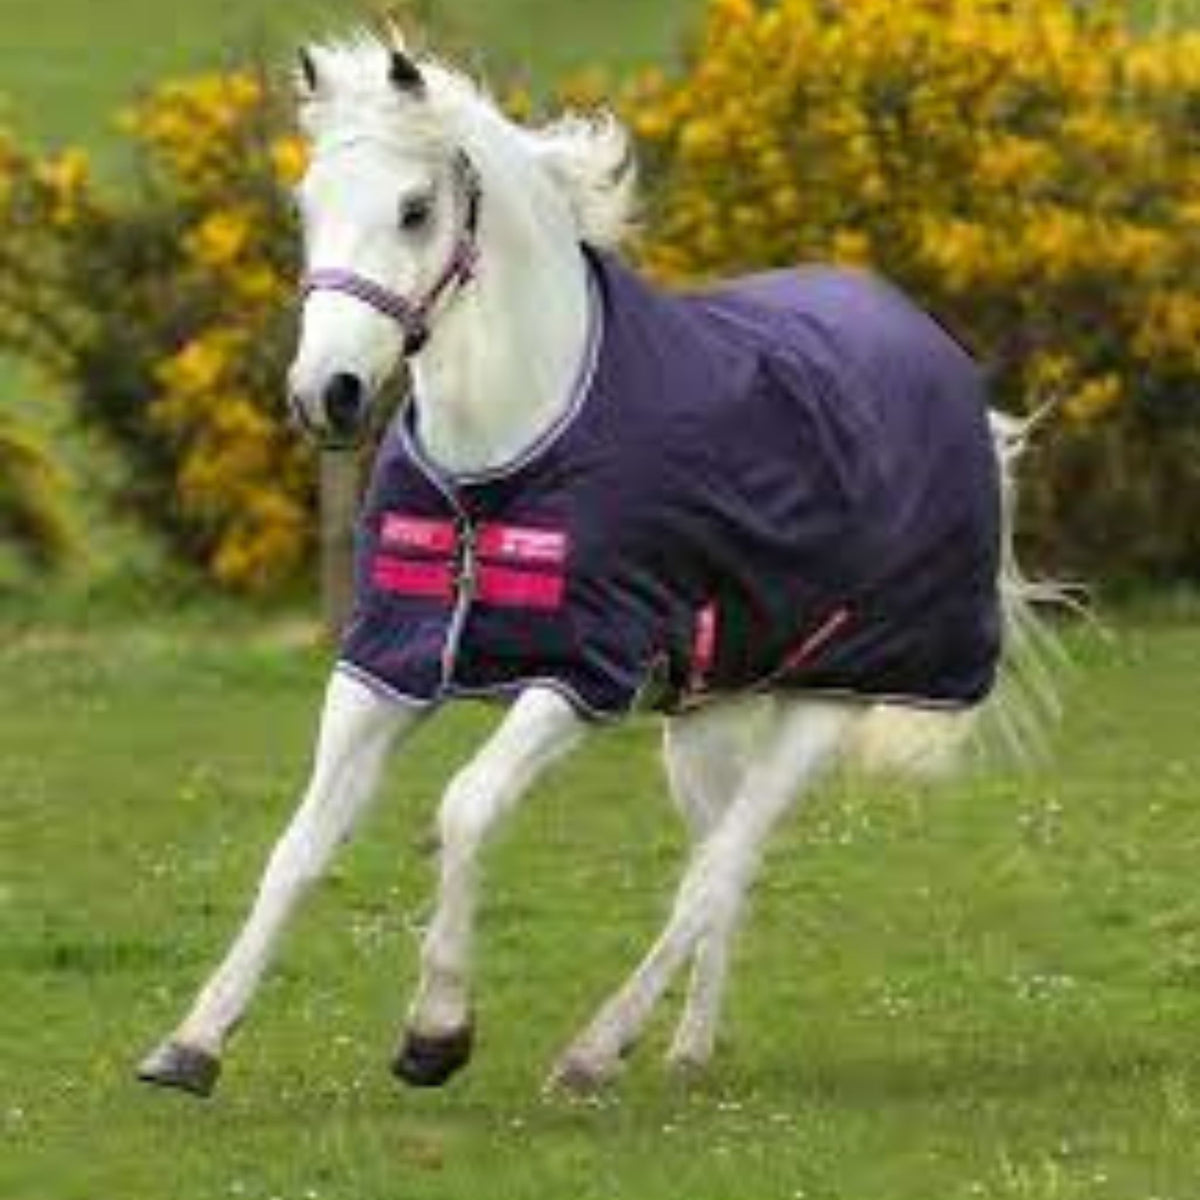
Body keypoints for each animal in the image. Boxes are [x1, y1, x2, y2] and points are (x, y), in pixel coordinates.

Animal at [140, 32, 1060, 1099]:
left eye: (414, 210)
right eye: (306, 206)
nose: (324, 395)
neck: (504, 462)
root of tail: (949, 372)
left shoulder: (580, 675)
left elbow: (464, 811)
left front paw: (436, 1033)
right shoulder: (386, 665)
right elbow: (299, 846)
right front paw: (193, 1042)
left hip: (826, 703)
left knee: (720, 867)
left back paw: (593, 1051)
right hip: (701, 717)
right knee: (719, 868)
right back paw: (685, 1052)